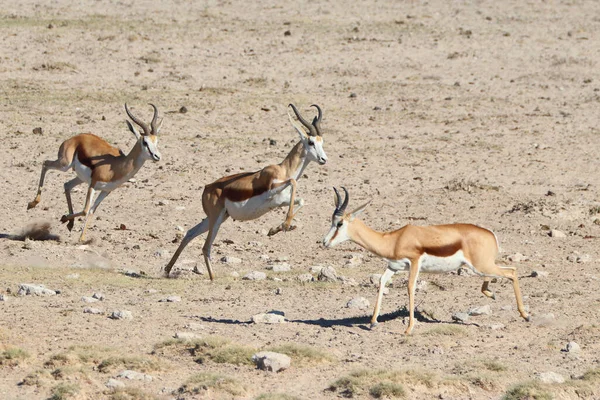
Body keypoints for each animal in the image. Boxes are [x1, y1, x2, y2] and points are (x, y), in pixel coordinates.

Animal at [27, 104, 163, 241]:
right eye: (145, 142)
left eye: (157, 141)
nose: (157, 156)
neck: (116, 166)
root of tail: (74, 138)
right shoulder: (93, 184)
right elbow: (86, 210)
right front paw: (63, 217)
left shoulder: (106, 191)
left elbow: (92, 211)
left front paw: (81, 238)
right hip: (65, 164)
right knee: (45, 164)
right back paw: (32, 204)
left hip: (80, 178)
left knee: (67, 185)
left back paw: (70, 224)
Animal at [164, 105, 328, 282]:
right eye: (311, 142)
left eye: (322, 142)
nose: (323, 159)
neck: (284, 170)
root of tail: (207, 188)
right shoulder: (272, 188)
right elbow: (293, 181)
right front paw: (284, 226)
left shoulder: (281, 201)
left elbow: (301, 200)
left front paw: (276, 229)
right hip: (216, 219)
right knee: (206, 246)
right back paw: (212, 277)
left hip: (219, 217)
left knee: (189, 234)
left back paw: (167, 270)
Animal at [324, 187, 528, 334]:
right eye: (331, 222)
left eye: (339, 223)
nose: (324, 242)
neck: (394, 239)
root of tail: (490, 233)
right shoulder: (393, 266)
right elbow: (381, 282)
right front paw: (373, 322)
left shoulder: (414, 263)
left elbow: (410, 288)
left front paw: (408, 329)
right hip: (481, 267)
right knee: (503, 274)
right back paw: (492, 294)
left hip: (481, 266)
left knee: (512, 272)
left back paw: (525, 315)